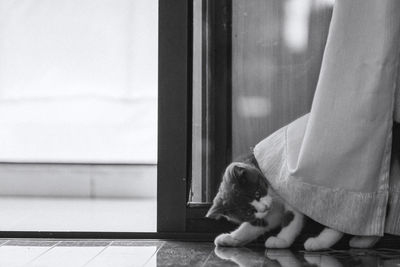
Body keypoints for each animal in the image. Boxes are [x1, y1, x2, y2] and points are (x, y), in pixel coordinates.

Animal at [206, 154, 382, 252]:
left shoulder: (292, 193)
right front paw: (231, 238)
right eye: (248, 211)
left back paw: (319, 242)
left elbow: (291, 218)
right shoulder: (270, 211)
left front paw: (281, 240)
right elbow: (255, 225)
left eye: (257, 192)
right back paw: (365, 240)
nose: (265, 207)